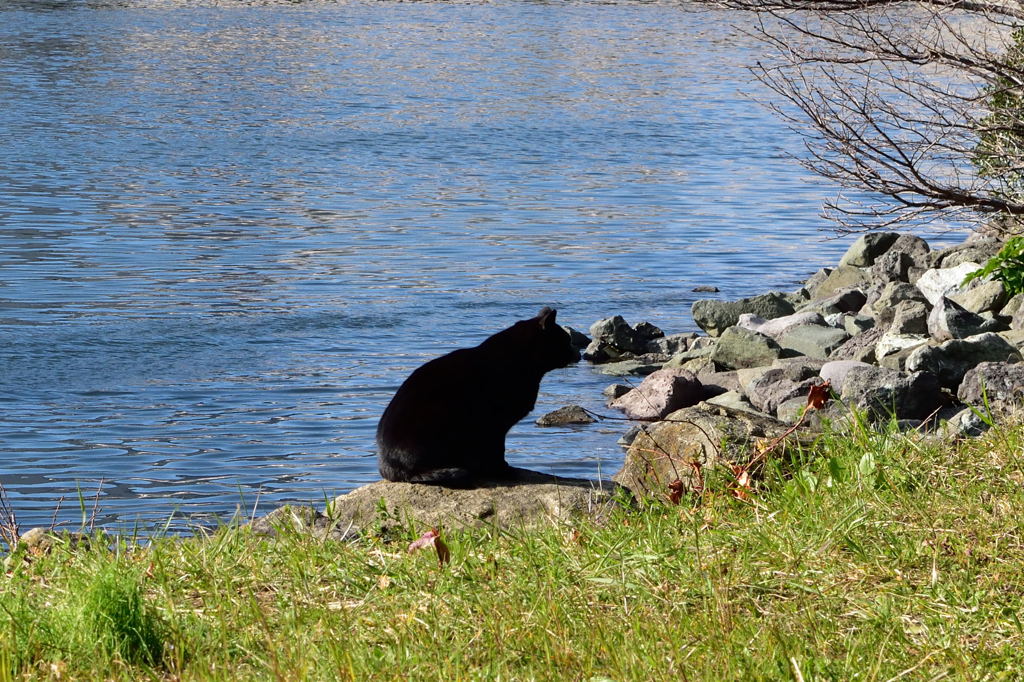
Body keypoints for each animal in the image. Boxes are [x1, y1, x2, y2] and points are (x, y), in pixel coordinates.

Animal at [380, 305, 581, 485]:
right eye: (566, 340)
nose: (577, 353)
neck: (518, 359)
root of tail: (391, 468)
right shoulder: (493, 425)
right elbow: (496, 451)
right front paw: (503, 471)